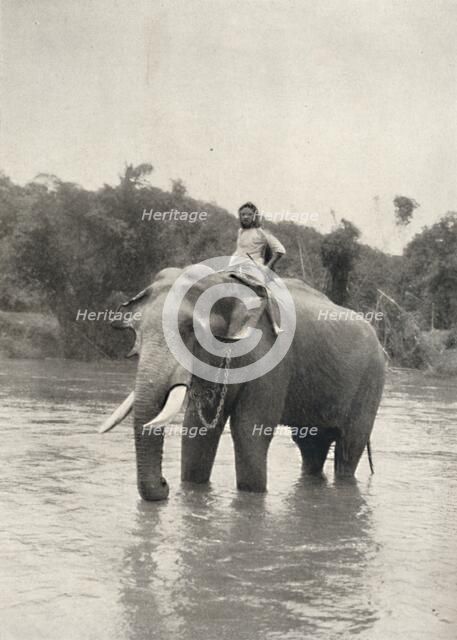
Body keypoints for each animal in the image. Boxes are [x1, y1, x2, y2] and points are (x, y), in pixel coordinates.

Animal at [100, 265, 385, 501]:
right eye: (136, 332)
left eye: (190, 330)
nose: (163, 484)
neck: (224, 281)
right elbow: (198, 430)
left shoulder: (269, 357)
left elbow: (250, 429)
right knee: (311, 447)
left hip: (371, 382)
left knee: (348, 449)